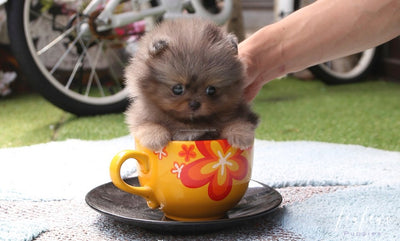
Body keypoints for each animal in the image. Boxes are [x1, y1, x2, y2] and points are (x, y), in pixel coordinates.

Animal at [124, 17, 260, 151]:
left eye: (211, 90)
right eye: (177, 89)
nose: (195, 104)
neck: (189, 122)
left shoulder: (240, 112)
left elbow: (238, 121)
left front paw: (241, 135)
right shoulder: (141, 114)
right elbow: (146, 124)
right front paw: (155, 138)